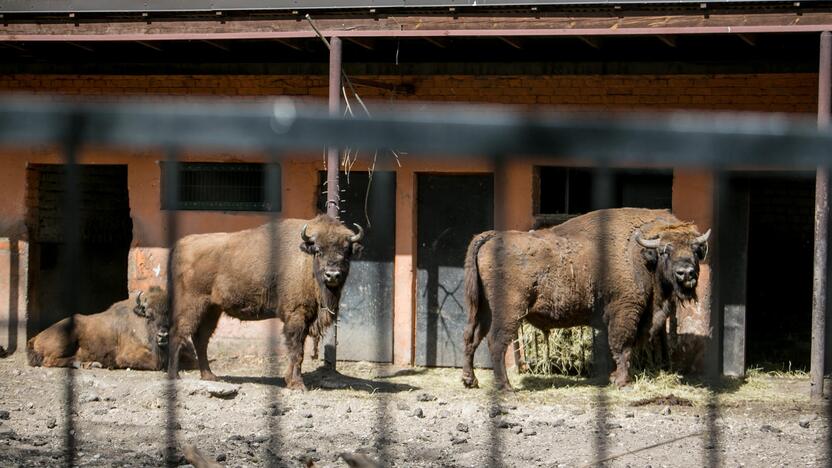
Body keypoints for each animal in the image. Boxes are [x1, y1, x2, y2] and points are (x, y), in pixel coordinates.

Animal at [27, 288, 175, 372]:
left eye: (169, 315)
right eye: (149, 316)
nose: (163, 335)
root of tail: (36, 337)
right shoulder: (126, 355)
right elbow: (155, 363)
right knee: (49, 361)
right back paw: (86, 363)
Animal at [167, 214, 362, 390]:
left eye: (346, 253)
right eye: (319, 251)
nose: (332, 275)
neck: (305, 261)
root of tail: (180, 245)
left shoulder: (307, 318)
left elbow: (298, 350)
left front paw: (292, 381)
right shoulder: (296, 315)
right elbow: (296, 350)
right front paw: (297, 384)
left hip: (212, 310)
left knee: (201, 339)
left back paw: (209, 376)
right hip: (192, 306)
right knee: (178, 334)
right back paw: (175, 376)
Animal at [462, 208, 708, 392]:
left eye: (696, 250)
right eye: (666, 250)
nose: (686, 273)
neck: (640, 255)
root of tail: (491, 237)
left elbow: (620, 348)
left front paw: (614, 378)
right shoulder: (625, 312)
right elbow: (623, 346)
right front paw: (622, 382)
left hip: (483, 309)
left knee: (471, 338)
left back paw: (470, 381)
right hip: (509, 311)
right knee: (496, 342)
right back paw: (506, 387)